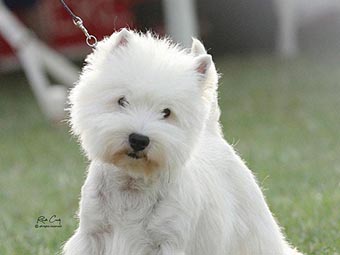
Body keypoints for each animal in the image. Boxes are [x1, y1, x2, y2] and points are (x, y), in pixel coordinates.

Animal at [62, 28, 302, 254]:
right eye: (122, 100)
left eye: (167, 112)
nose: (139, 140)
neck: (132, 183)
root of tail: (211, 132)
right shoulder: (92, 234)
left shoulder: (169, 241)